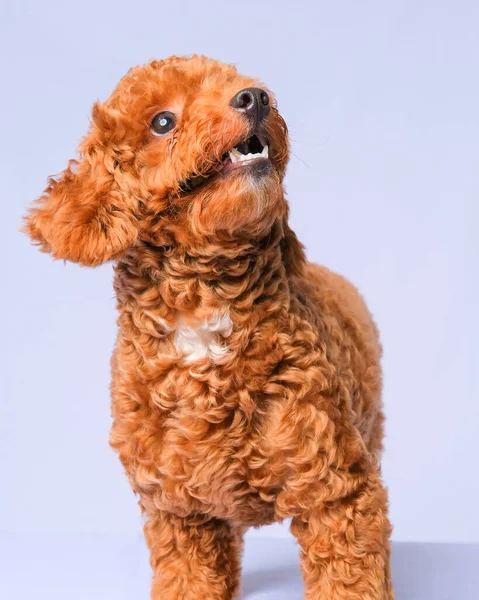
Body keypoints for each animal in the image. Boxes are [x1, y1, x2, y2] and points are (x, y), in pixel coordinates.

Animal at [23, 55, 394, 596]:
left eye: (237, 84)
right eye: (162, 121)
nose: (256, 97)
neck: (204, 316)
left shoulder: (338, 493)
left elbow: (350, 576)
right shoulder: (179, 511)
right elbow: (189, 577)